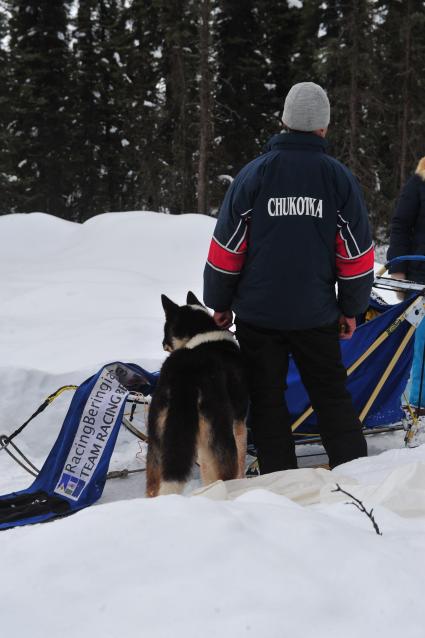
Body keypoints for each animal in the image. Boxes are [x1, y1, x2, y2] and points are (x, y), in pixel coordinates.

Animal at [145, 292, 247, 498]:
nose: (163, 344)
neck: (201, 333)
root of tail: (186, 373)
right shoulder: (239, 422)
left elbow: (207, 473)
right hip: (221, 435)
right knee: (227, 475)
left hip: (157, 440)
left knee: (153, 485)